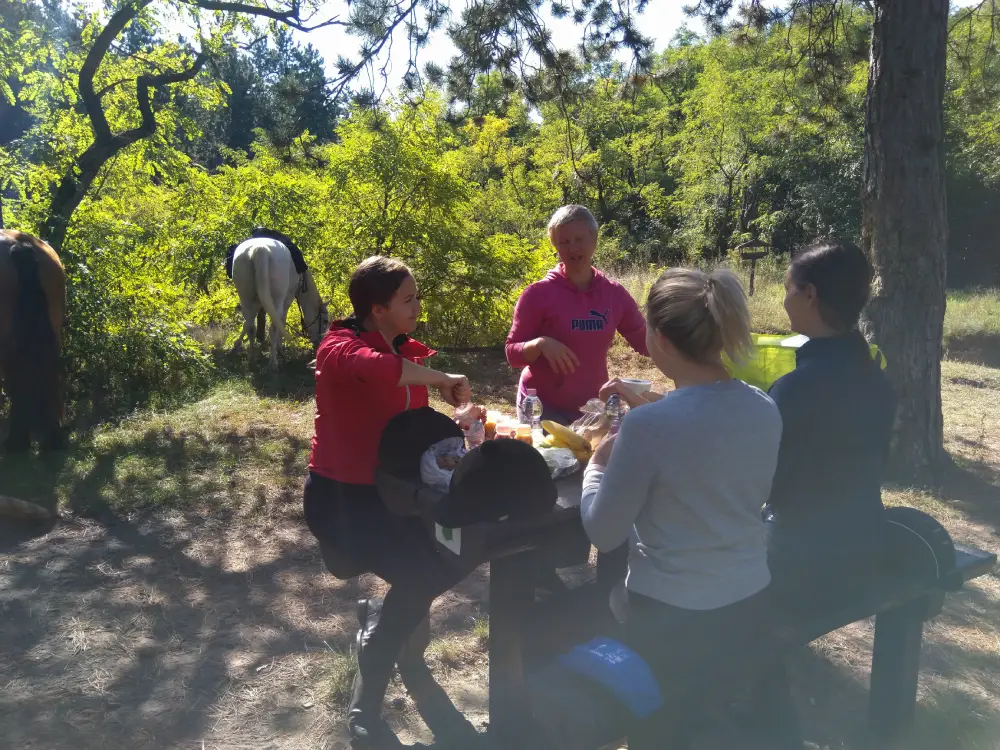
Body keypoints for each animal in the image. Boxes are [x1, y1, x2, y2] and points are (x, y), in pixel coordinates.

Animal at [230, 239, 328, 372]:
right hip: (277, 300)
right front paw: (280, 347)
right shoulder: (287, 301)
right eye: (325, 321)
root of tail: (260, 249)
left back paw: (250, 359)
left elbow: (250, 324)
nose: (320, 344)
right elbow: (282, 321)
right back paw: (273, 363)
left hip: (245, 298)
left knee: (250, 326)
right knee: (273, 328)